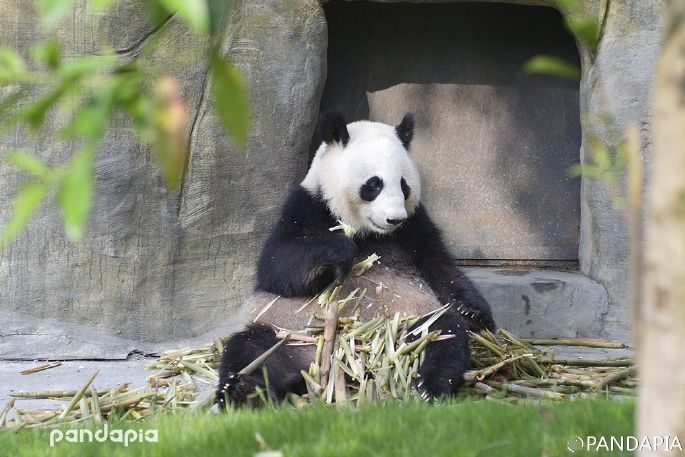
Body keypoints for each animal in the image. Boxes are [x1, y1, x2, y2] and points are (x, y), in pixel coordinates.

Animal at [216, 110, 494, 406]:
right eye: (374, 184)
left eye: (404, 185)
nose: (394, 218)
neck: (368, 231)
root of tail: (347, 352)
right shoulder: (307, 206)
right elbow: (276, 266)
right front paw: (339, 249)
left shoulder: (415, 225)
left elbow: (440, 267)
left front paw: (472, 311)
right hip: (288, 331)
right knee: (253, 350)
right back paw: (243, 390)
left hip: (408, 319)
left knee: (442, 334)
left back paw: (429, 385)